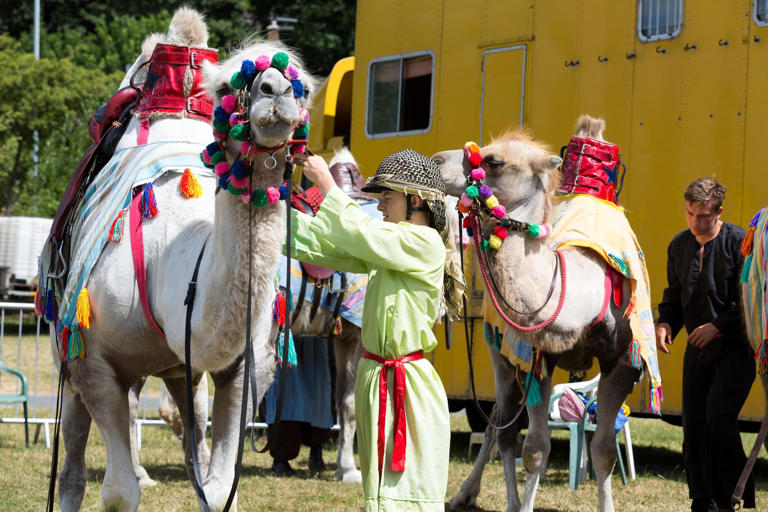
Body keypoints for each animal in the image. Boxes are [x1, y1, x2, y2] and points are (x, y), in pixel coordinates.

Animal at [46, 8, 317, 511]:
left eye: (301, 85)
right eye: (233, 83)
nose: (276, 92)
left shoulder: (246, 365)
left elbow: (218, 487)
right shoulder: (94, 363)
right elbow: (119, 492)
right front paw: (132, 481)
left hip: (179, 373)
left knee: (188, 442)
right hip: (67, 354)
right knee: (72, 470)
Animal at [432, 116, 657, 512]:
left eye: (494, 161)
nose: (435, 159)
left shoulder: (622, 362)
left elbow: (603, 451)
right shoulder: (535, 359)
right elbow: (535, 449)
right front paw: (521, 504)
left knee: (501, 426)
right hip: (498, 352)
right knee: (500, 427)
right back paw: (473, 495)